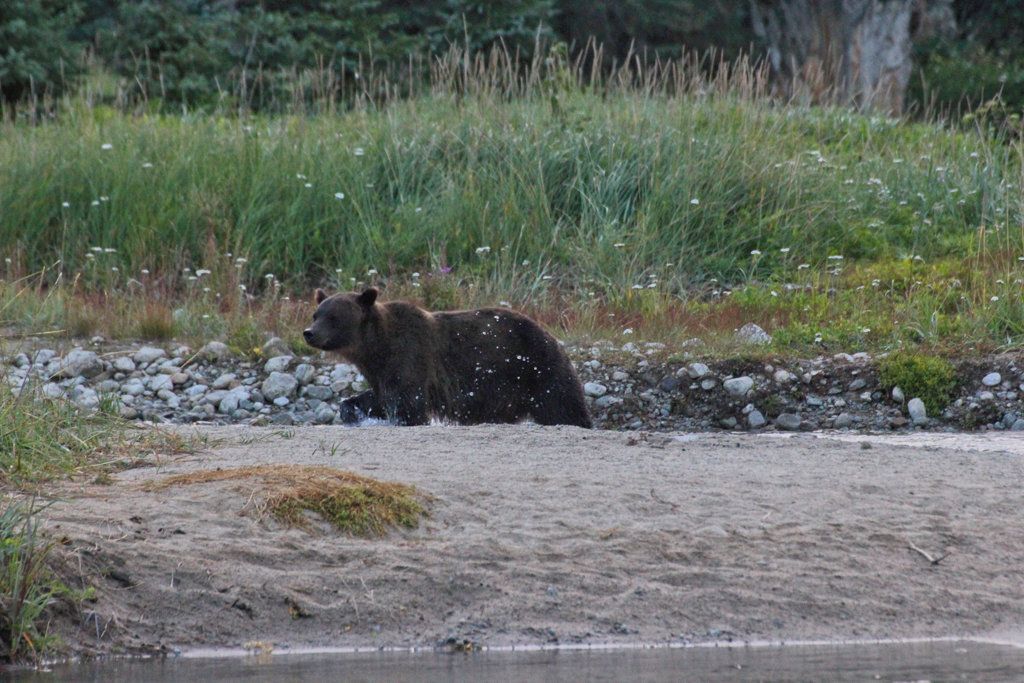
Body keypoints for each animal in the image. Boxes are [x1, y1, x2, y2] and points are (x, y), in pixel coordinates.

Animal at [303, 286, 593, 428]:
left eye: (333, 317)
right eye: (316, 314)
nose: (309, 333)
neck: (375, 347)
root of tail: (550, 333)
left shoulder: (410, 355)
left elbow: (408, 405)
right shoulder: (382, 371)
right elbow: (378, 398)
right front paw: (351, 411)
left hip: (537, 367)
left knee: (563, 405)